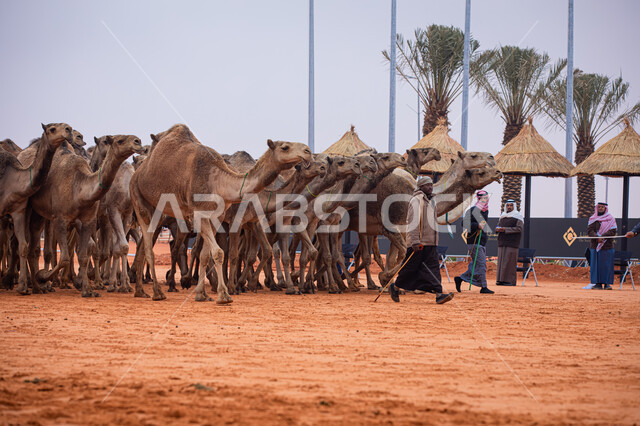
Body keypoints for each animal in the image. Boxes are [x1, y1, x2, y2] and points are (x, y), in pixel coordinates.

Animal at [20, 134, 145, 296]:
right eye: (118, 140)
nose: (138, 142)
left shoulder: (113, 216)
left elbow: (111, 249)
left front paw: (118, 284)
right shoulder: (107, 212)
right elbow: (88, 249)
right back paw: (38, 283)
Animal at [129, 124, 312, 303]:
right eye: (285, 147)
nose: (308, 151)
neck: (217, 181)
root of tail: (138, 172)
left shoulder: (218, 217)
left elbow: (205, 254)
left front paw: (201, 294)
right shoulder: (199, 213)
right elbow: (218, 252)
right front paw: (224, 294)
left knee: (144, 246)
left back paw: (140, 291)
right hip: (140, 200)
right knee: (148, 246)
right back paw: (157, 292)